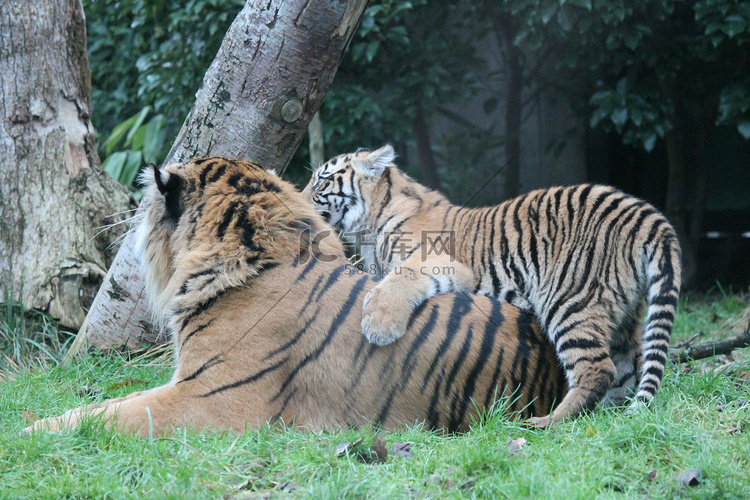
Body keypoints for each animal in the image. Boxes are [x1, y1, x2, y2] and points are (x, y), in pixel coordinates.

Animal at [302, 144, 684, 426]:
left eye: (321, 182)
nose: (302, 201)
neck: (370, 223)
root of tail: (643, 213)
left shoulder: (443, 262)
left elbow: (399, 279)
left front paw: (379, 324)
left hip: (568, 299)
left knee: (596, 369)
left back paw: (545, 424)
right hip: (620, 315)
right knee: (626, 370)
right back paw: (609, 419)